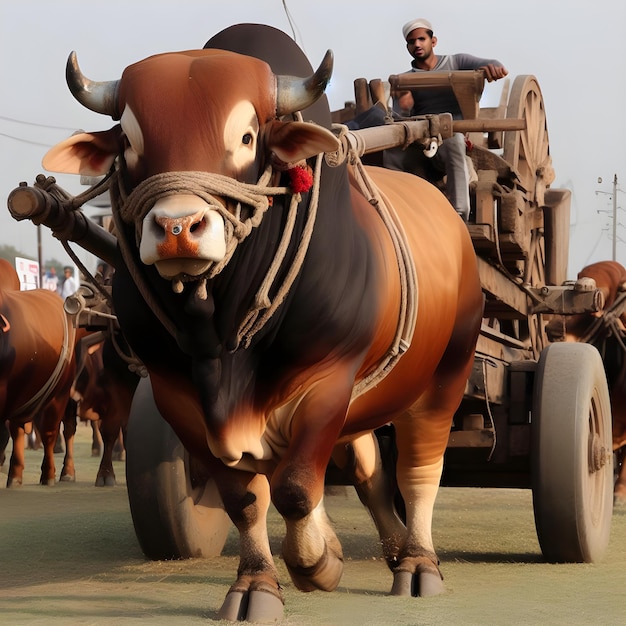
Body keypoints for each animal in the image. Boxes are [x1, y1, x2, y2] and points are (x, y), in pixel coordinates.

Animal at [31, 24, 480, 620]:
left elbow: (295, 487)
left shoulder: (329, 378)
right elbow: (246, 497)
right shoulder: (178, 397)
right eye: (127, 141)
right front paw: (260, 584)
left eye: (246, 138)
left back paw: (417, 563)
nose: (177, 228)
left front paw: (316, 563)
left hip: (445, 375)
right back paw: (388, 549)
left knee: (418, 469)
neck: (217, 338)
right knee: (368, 469)